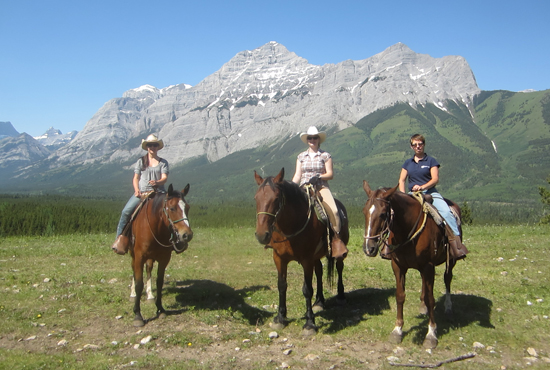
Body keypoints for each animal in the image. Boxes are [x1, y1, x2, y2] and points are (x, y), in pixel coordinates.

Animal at [130, 184, 193, 326]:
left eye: (187, 207)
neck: (155, 228)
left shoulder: (164, 258)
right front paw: (137, 315)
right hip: (133, 254)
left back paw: (149, 295)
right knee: (133, 270)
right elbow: (139, 283)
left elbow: (159, 282)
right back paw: (132, 294)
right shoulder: (139, 256)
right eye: (172, 208)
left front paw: (160, 309)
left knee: (148, 270)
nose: (187, 235)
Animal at [254, 168, 350, 336]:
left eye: (276, 199)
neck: (291, 225)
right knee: (319, 271)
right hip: (316, 257)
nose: (261, 235)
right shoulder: (279, 258)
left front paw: (310, 323)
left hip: (335, 253)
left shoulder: (306, 260)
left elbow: (307, 290)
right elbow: (281, 285)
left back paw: (340, 296)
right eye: (256, 199)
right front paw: (280, 318)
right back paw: (319, 301)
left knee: (339, 268)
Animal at [364, 182, 464, 350]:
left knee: (447, 279)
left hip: (451, 260)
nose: (368, 248)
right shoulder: (398, 266)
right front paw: (397, 330)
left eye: (383, 214)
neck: (406, 231)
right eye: (364, 212)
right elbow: (400, 296)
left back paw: (448, 308)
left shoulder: (428, 266)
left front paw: (431, 334)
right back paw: (423, 307)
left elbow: (431, 299)